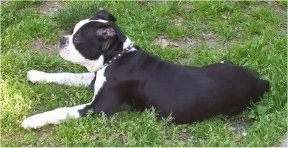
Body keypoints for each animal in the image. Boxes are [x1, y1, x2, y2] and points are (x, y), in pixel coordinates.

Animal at [22, 9, 270, 129]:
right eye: (71, 33)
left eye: (77, 40)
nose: (61, 40)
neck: (116, 57)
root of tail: (261, 81)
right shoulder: (94, 78)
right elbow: (67, 75)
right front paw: (36, 74)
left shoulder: (99, 107)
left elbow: (62, 111)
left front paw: (33, 120)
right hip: (222, 63)